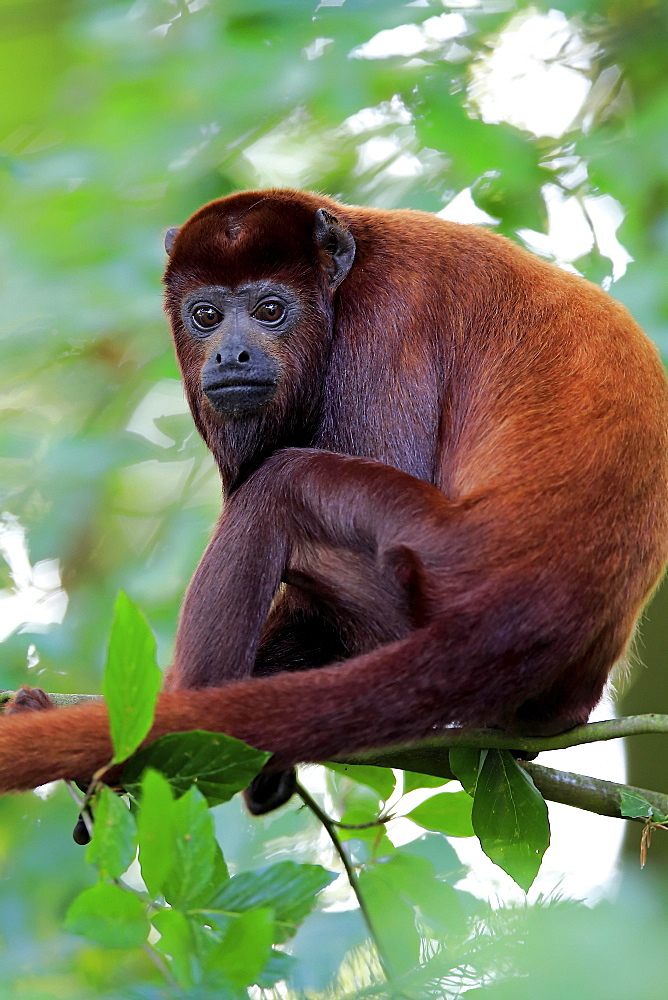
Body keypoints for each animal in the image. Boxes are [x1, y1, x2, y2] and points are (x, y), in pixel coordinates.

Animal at [1, 188, 668, 812]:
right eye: (205, 314)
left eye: (270, 310)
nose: (231, 354)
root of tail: (534, 601)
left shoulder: (387, 318)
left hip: (438, 573)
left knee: (278, 486)